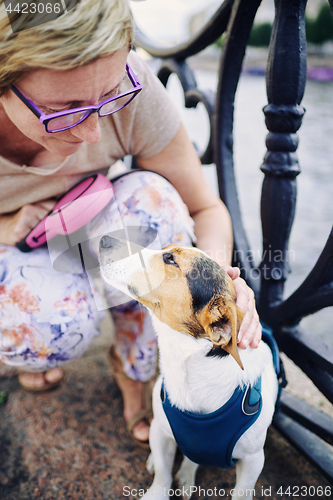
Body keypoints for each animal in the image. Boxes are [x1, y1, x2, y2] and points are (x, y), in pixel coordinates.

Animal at [98, 237, 278, 500]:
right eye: (166, 250)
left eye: (170, 259)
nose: (104, 239)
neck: (190, 367)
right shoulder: (159, 431)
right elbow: (162, 476)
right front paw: (157, 488)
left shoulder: (254, 460)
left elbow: (241, 493)